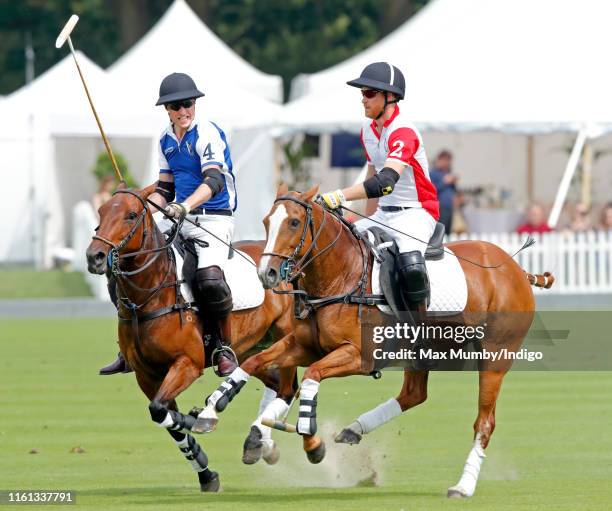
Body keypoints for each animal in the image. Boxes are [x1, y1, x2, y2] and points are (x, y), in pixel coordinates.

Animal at [85, 183, 294, 492]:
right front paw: (206, 473)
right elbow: (164, 417)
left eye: (131, 215)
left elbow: (159, 410)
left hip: (288, 337)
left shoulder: (187, 363)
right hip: (253, 347)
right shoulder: (147, 375)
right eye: (100, 211)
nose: (94, 256)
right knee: (274, 382)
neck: (151, 295)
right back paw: (260, 444)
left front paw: (200, 418)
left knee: (289, 387)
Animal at [201, 184, 556, 500]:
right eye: (266, 221)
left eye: (294, 222)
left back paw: (463, 486)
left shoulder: (359, 356)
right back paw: (354, 429)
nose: (268, 274)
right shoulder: (304, 345)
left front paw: (310, 437)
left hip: (495, 357)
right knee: (414, 394)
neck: (341, 277)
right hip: (424, 351)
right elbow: (252, 362)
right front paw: (211, 409)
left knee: (484, 422)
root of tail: (517, 269)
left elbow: (313, 376)